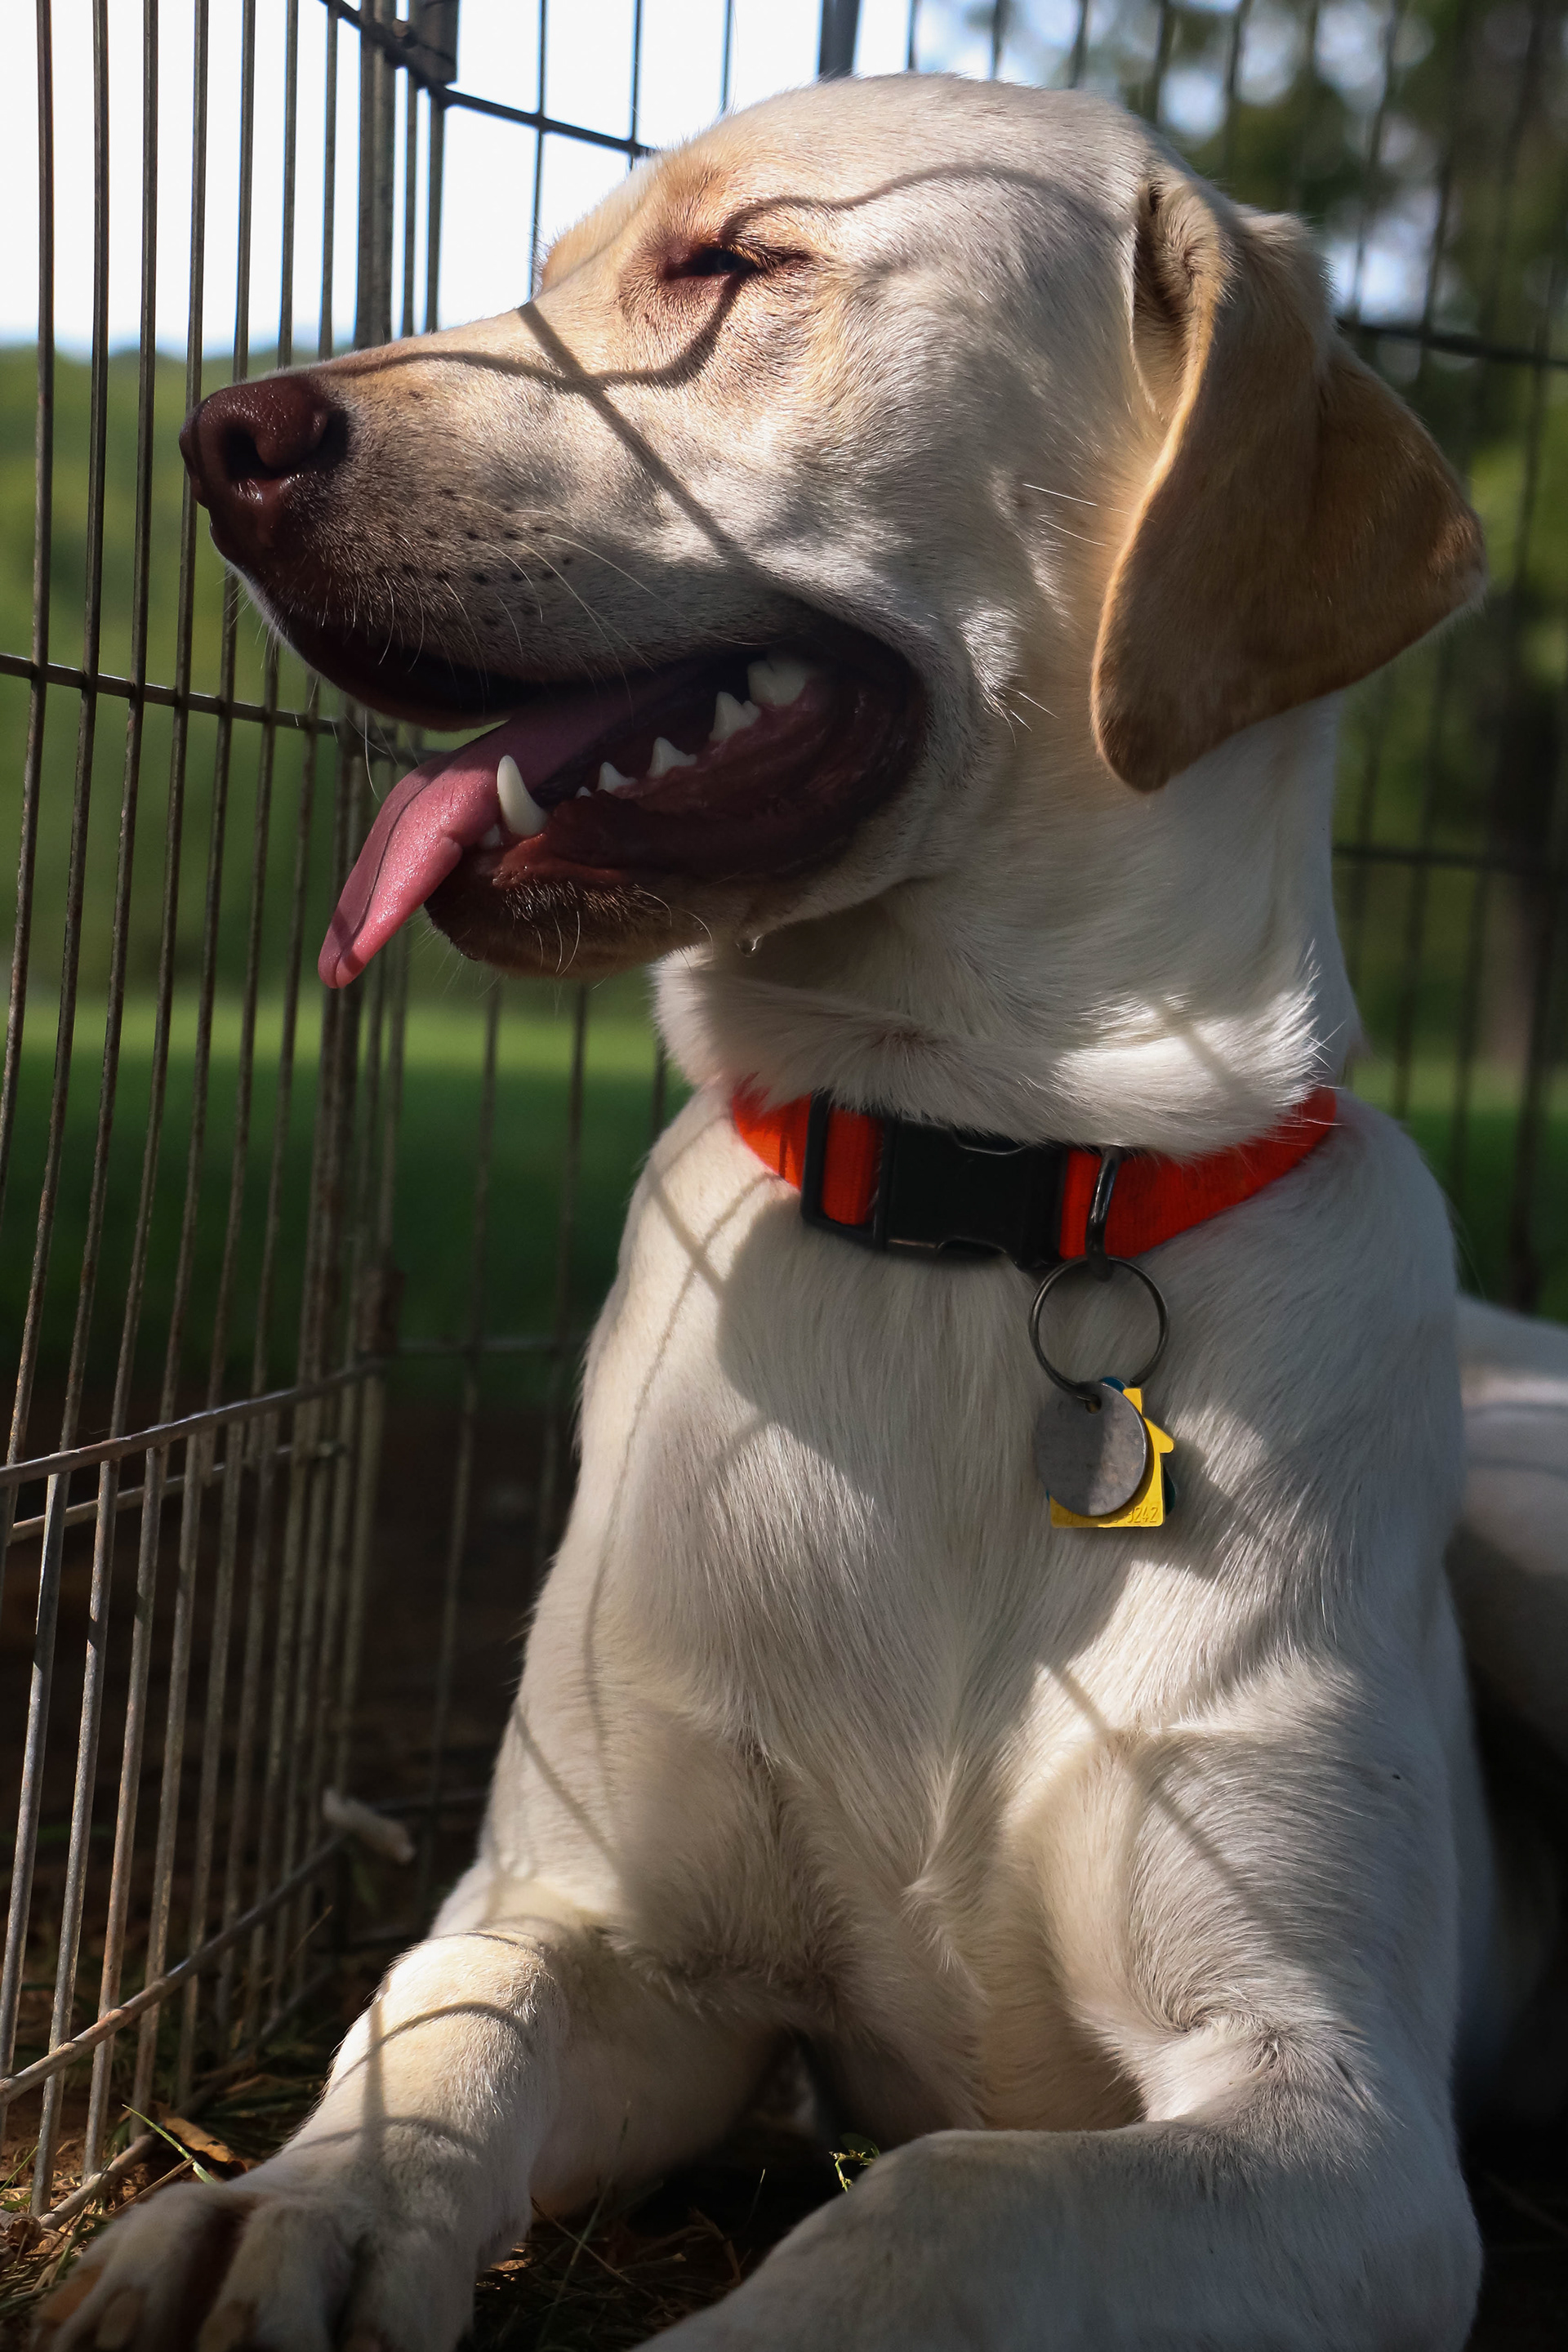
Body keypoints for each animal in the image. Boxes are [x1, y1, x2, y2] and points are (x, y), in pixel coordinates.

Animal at [43, 72, 1568, 2352]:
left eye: (741, 262)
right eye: (549, 268)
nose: (220, 434)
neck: (981, 1185)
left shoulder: (1331, 2112)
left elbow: (942, 2208)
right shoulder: (628, 1934)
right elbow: (446, 2006)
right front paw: (282, 2205)